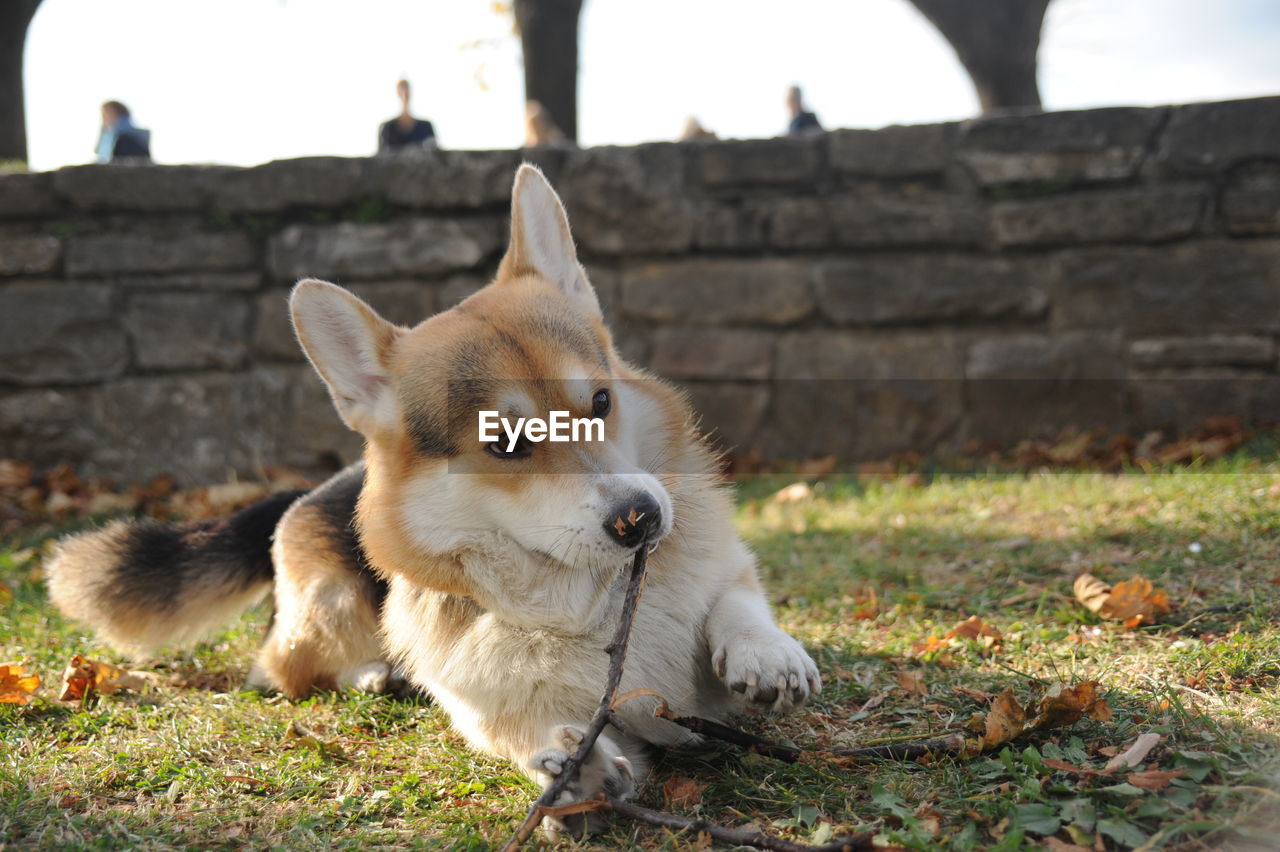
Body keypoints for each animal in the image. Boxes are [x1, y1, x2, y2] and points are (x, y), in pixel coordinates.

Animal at [47, 166, 819, 808]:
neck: (587, 601)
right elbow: (529, 729)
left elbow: (735, 600)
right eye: (506, 443)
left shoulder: (728, 571)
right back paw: (371, 675)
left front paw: (766, 653)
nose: (642, 519)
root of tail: (309, 489)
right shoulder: (489, 712)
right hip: (330, 605)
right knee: (282, 669)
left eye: (600, 401)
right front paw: (568, 762)